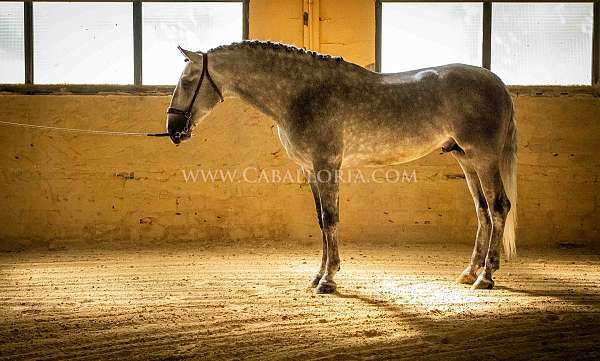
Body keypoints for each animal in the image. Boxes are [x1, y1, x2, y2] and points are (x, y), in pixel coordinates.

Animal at [166, 40, 516, 292]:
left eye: (187, 81)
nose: (173, 129)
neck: (302, 93)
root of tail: (497, 82)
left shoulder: (327, 166)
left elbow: (331, 220)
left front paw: (328, 280)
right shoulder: (311, 170)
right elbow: (322, 220)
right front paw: (318, 275)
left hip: (484, 158)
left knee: (499, 207)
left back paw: (486, 277)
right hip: (466, 159)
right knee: (483, 211)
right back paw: (469, 272)